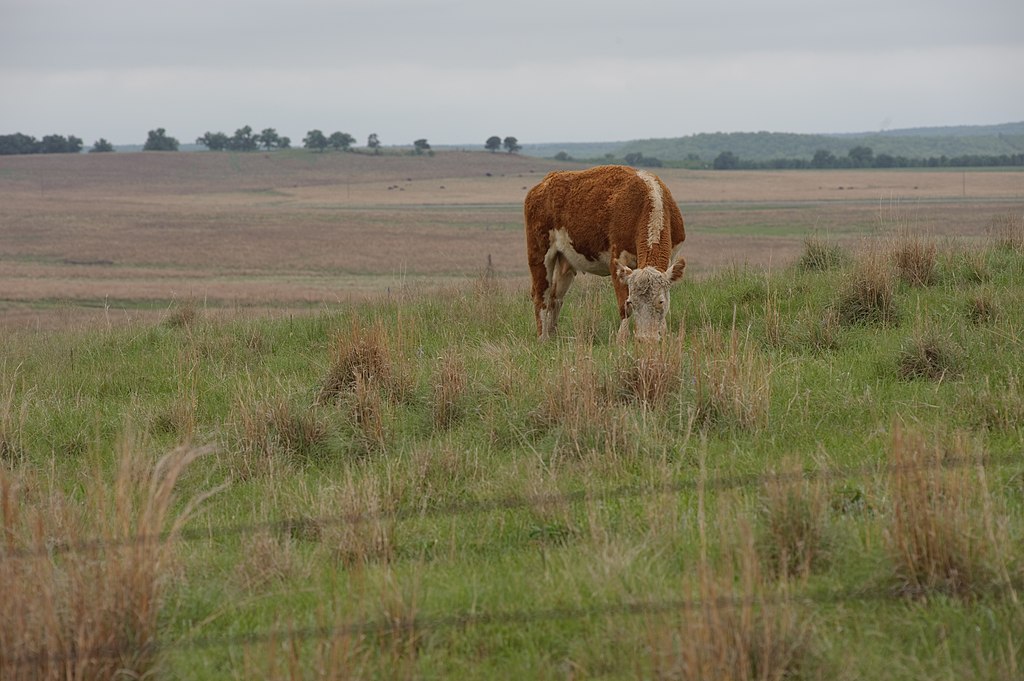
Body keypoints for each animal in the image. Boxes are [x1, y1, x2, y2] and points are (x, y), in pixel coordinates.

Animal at [524, 165, 686, 342]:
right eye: (633, 302)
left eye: (660, 301)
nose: (646, 339)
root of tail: (546, 181)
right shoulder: (617, 260)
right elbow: (624, 307)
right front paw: (621, 338)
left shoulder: (671, 257)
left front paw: (664, 333)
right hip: (539, 253)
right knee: (541, 296)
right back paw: (543, 338)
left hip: (565, 261)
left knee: (556, 297)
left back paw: (553, 336)